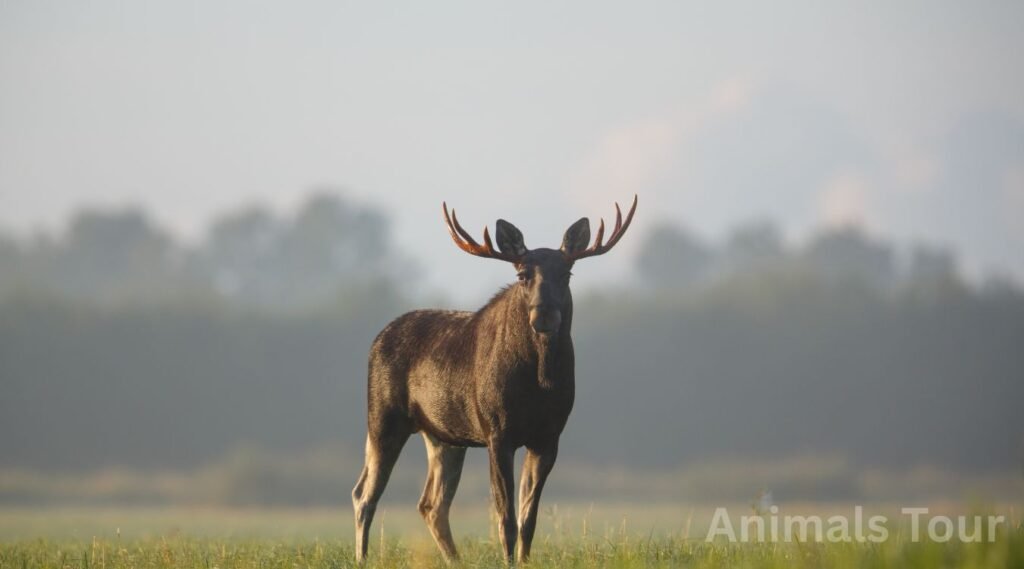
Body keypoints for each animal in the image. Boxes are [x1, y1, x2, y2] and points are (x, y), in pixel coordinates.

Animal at [351, 196, 637, 564]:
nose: (544, 314)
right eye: (522, 274)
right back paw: (362, 558)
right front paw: (509, 561)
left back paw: (454, 560)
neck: (539, 384)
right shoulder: (497, 431)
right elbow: (506, 518)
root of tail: (376, 340)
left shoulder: (549, 436)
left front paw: (526, 562)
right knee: (365, 494)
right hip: (383, 417)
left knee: (431, 504)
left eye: (567, 272)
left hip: (443, 436)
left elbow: (528, 518)